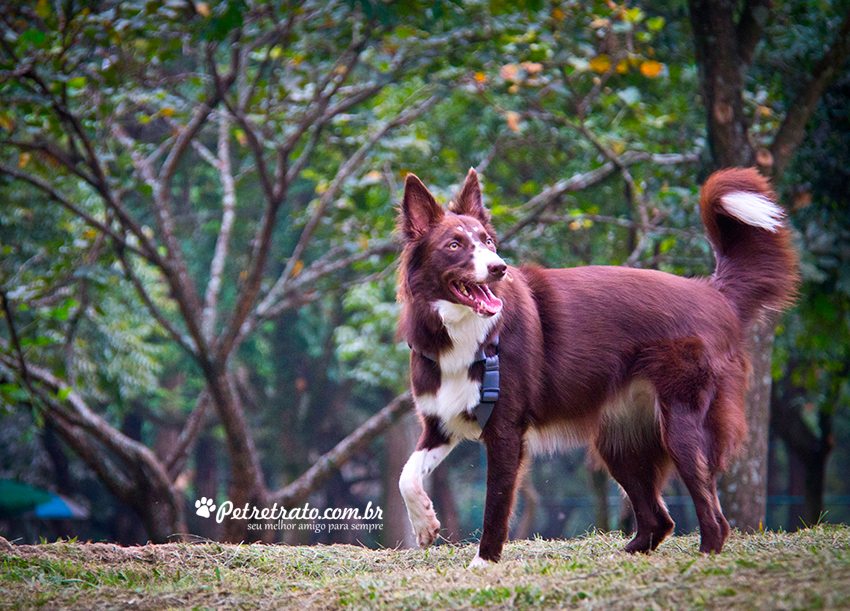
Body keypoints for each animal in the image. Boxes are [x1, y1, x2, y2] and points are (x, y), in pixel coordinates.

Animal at [396, 167, 796, 568]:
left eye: (489, 241)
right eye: (454, 245)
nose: (499, 268)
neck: (466, 334)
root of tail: (715, 294)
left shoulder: (505, 431)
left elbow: (495, 502)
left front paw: (483, 563)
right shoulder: (440, 422)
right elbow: (406, 474)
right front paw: (424, 524)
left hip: (682, 425)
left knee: (713, 515)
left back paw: (705, 555)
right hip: (619, 440)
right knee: (660, 519)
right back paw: (630, 553)